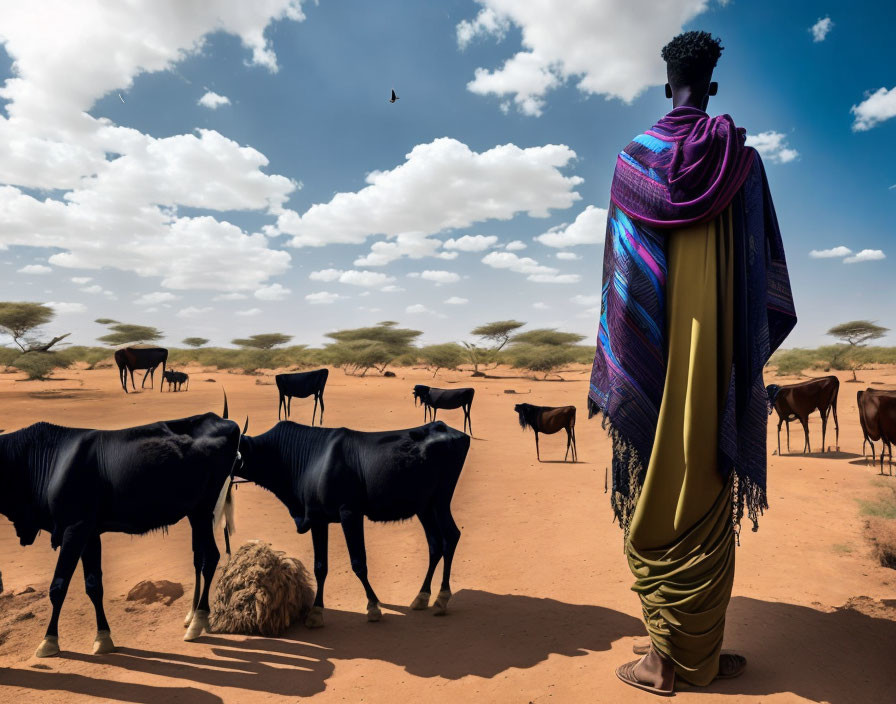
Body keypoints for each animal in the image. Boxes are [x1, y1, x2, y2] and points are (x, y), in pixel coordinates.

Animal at [0, 398, 240, 656]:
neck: (49, 459)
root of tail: (223, 421)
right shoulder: (90, 533)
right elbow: (94, 585)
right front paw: (103, 637)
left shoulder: (75, 529)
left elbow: (58, 586)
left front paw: (49, 640)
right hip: (195, 513)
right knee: (201, 557)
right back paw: (194, 616)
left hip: (205, 508)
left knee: (212, 557)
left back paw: (197, 622)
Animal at [234, 418, 472, 628]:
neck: (309, 458)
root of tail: (450, 429)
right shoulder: (318, 519)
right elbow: (320, 566)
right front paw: (316, 612)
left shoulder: (350, 513)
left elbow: (359, 562)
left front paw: (373, 606)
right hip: (424, 506)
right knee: (435, 544)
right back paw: (422, 596)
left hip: (441, 499)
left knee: (450, 537)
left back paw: (441, 598)